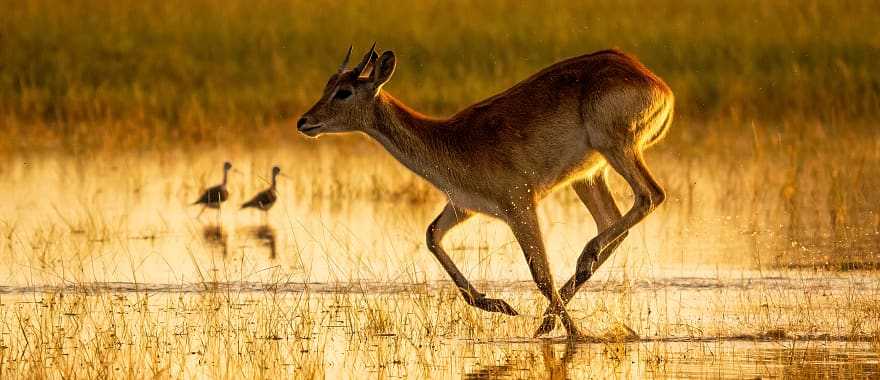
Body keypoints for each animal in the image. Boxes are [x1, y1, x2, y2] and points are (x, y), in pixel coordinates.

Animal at [298, 44, 672, 338]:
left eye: (344, 91)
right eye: (328, 84)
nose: (305, 122)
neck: (452, 141)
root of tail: (656, 82)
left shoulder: (519, 205)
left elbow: (541, 274)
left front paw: (576, 334)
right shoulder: (463, 206)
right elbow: (431, 235)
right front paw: (498, 304)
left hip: (616, 148)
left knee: (651, 195)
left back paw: (580, 267)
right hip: (589, 175)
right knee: (613, 220)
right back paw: (551, 312)